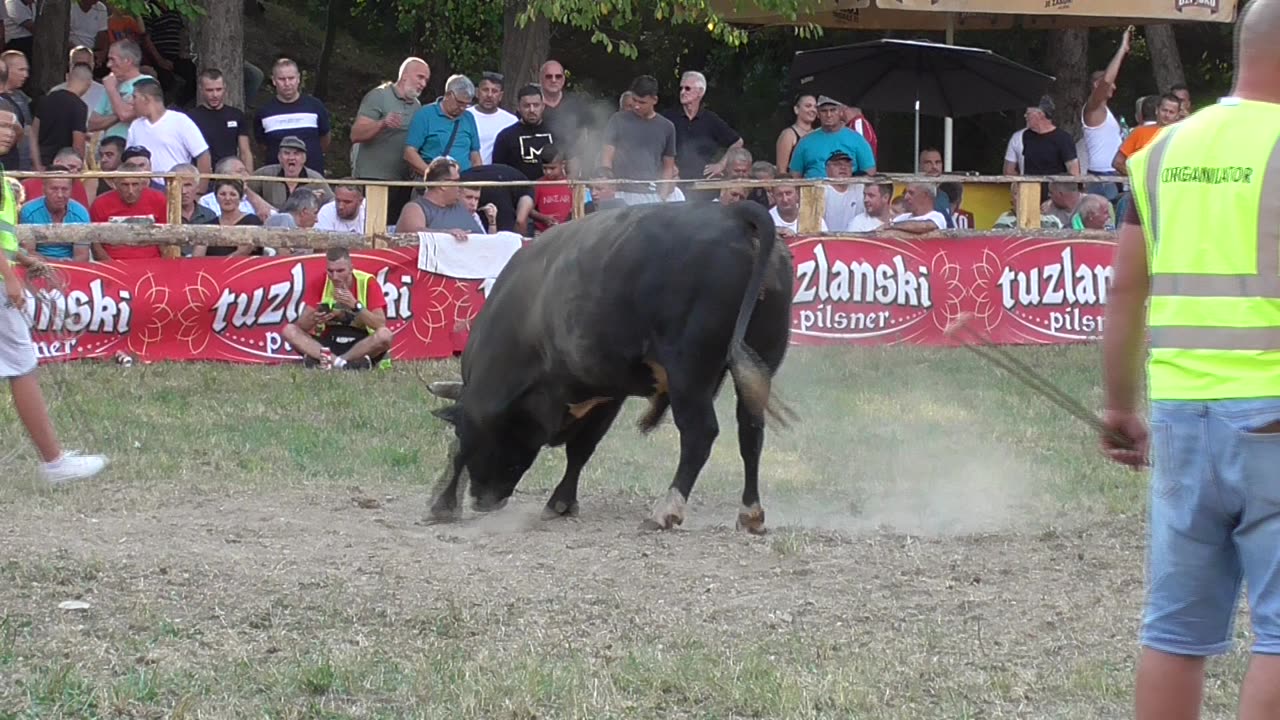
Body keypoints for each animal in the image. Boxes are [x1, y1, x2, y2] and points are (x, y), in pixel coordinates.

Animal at [424, 198, 793, 530]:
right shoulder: (606, 393)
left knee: (699, 433)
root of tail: (733, 215)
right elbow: (582, 448)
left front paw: (443, 503)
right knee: (750, 431)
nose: (482, 500)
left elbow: (462, 446)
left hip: (689, 372)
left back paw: (666, 510)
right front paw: (561, 501)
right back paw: (750, 513)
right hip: (762, 360)